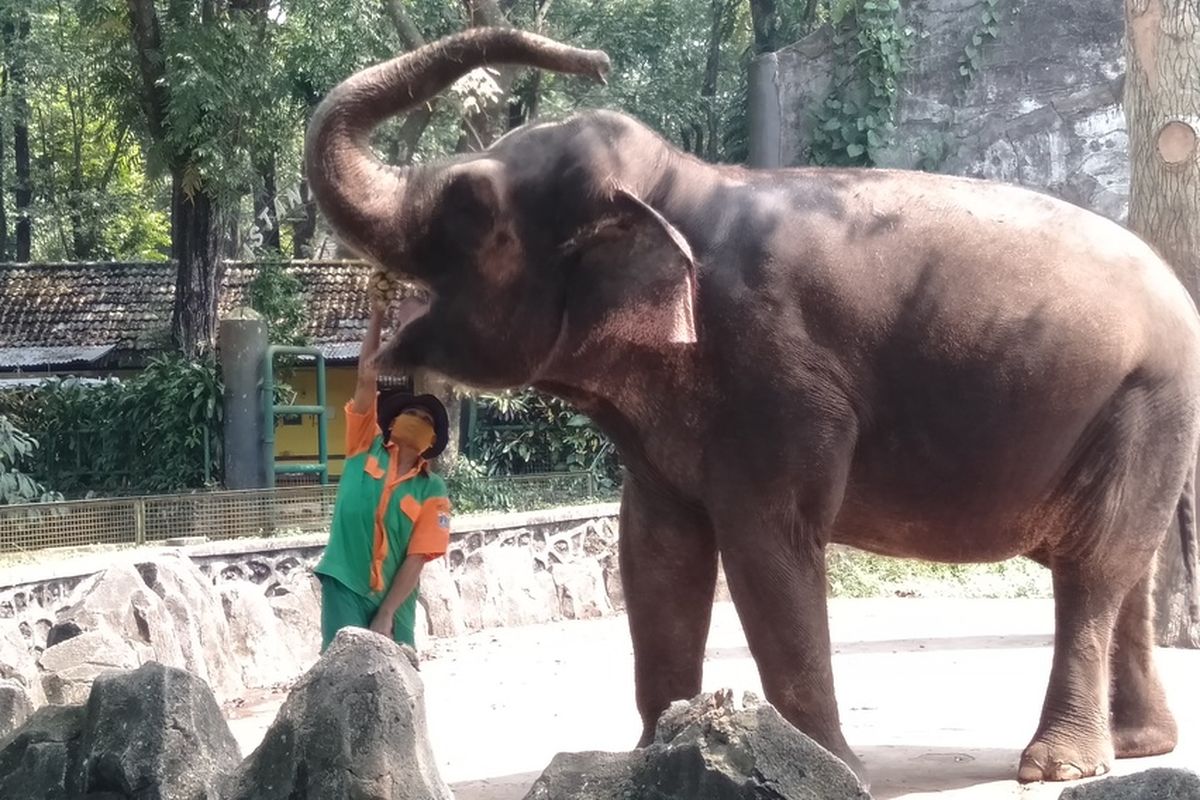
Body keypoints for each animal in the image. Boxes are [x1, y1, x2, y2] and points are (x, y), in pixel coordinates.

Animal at [307, 28, 1200, 786]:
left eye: (470, 210)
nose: (593, 60)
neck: (681, 184)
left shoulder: (781, 378)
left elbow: (768, 548)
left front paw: (830, 772)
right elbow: (655, 553)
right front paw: (650, 761)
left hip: (1150, 402)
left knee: (1092, 567)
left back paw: (1058, 766)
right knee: (1125, 565)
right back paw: (1136, 746)